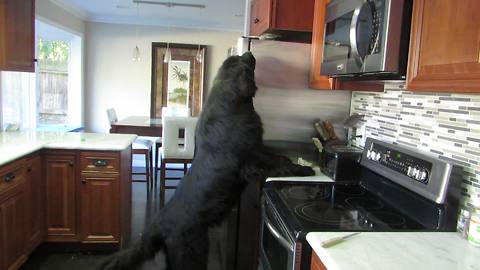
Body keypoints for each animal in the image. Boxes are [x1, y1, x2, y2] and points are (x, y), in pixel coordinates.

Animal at [98, 52, 316, 270]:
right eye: (243, 61)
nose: (249, 53)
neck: (233, 105)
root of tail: (158, 223)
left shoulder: (258, 149)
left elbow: (279, 157)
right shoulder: (251, 158)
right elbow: (277, 163)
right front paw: (304, 170)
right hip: (192, 253)